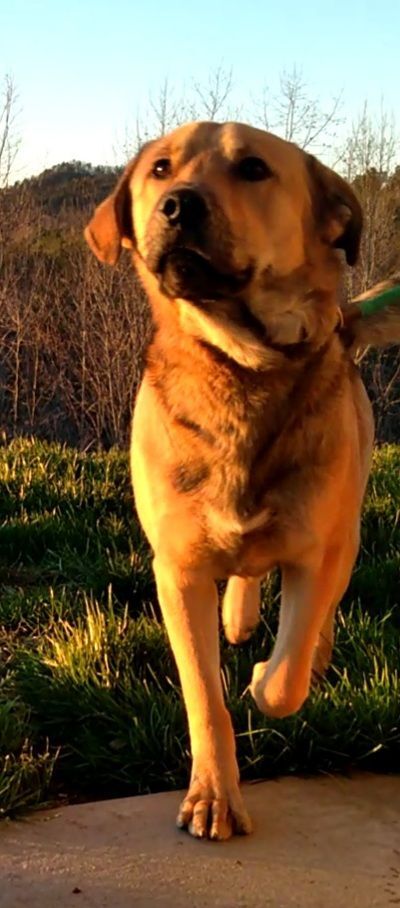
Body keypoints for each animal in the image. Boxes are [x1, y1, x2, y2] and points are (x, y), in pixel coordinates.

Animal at [85, 122, 400, 844]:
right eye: (160, 168)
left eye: (254, 168)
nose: (178, 205)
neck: (241, 366)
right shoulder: (176, 570)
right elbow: (205, 696)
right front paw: (214, 797)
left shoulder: (318, 549)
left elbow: (283, 681)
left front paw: (265, 677)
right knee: (244, 578)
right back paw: (238, 614)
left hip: (348, 526)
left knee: (322, 611)